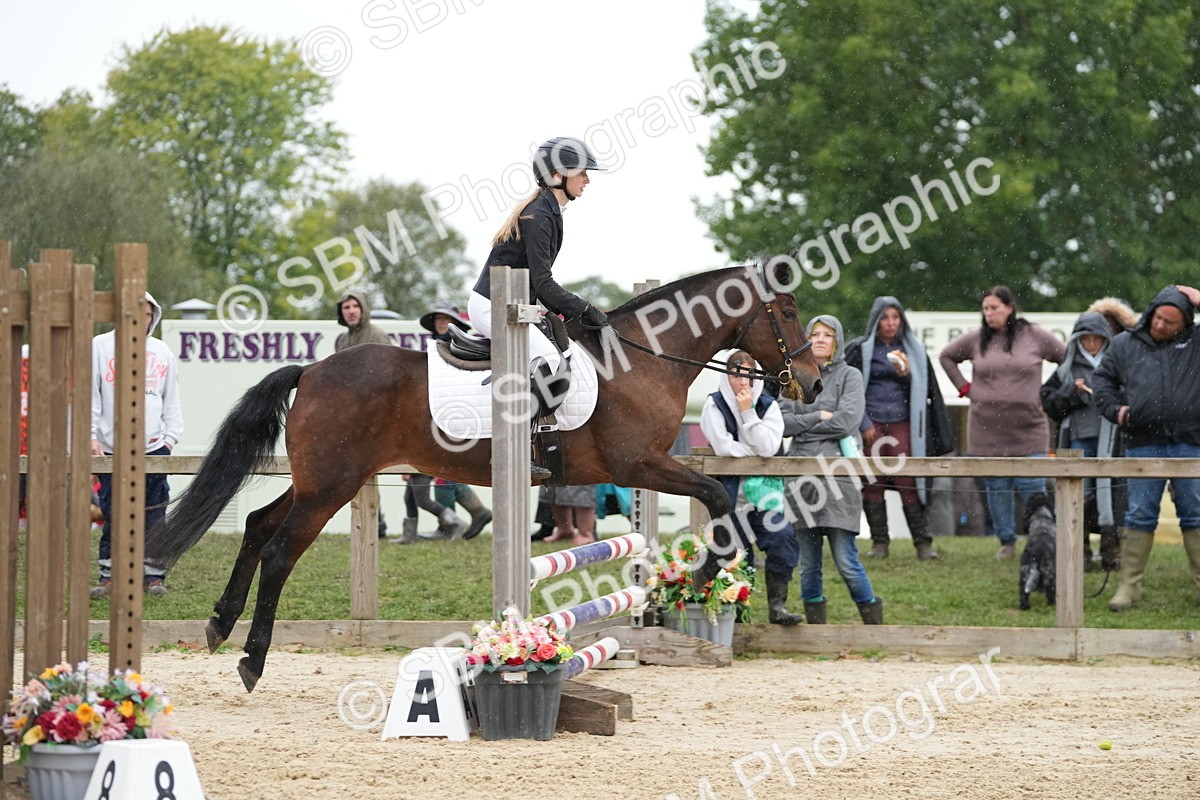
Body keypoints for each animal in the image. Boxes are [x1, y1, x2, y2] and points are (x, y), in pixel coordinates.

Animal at [146, 263, 823, 691]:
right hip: (331, 487)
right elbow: (715, 496)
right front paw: (705, 574)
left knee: (259, 526)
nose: (813, 384)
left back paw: (219, 624)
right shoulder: (639, 465)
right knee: (281, 549)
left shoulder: (643, 470)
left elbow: (710, 500)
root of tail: (311, 371)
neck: (643, 360)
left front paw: (687, 585)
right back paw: (252, 660)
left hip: (322, 481)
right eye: (788, 311)